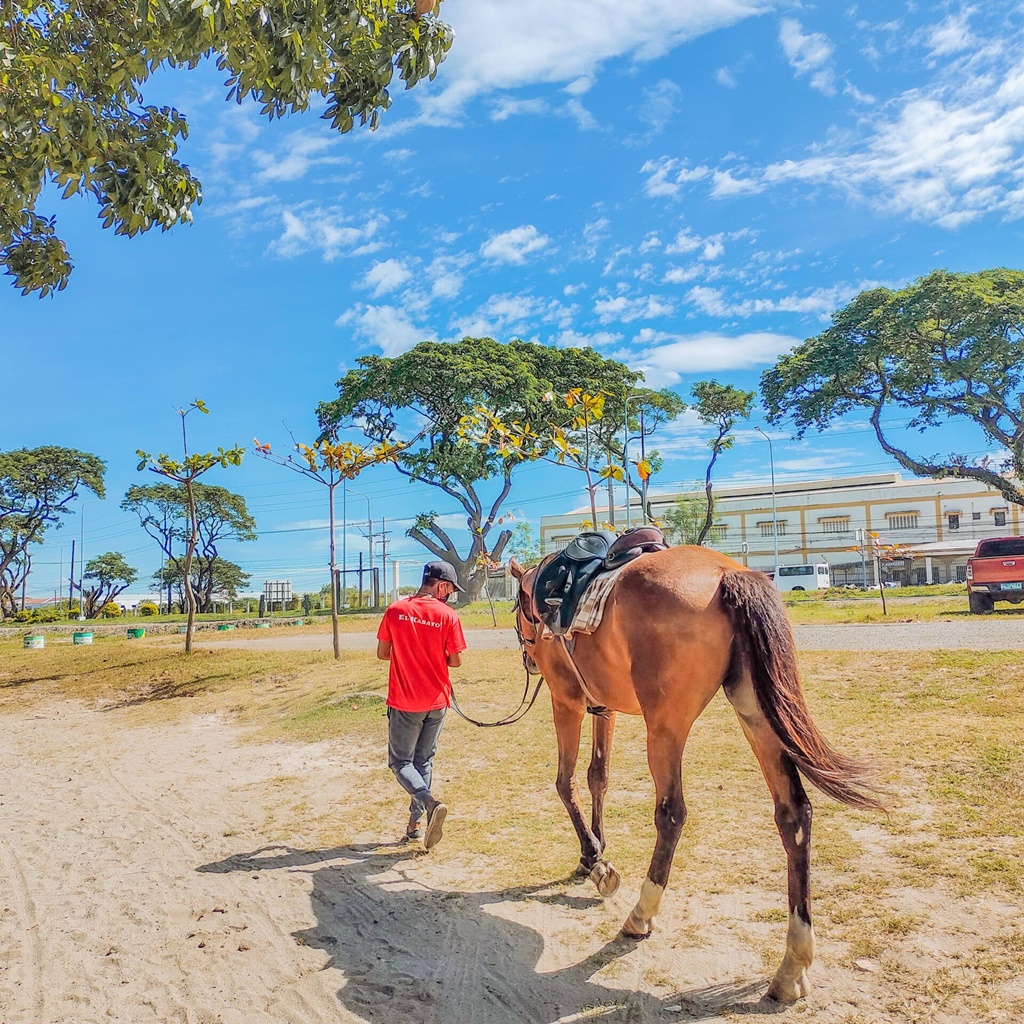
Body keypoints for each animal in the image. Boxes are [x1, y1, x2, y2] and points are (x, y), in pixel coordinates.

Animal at [508, 546, 883, 1003]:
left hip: (665, 725)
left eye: (517, 609)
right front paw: (591, 853)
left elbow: (567, 782)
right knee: (794, 814)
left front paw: (597, 862)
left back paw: (641, 914)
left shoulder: (567, 701)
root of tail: (727, 575)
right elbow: (600, 777)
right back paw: (792, 965)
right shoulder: (604, 707)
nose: (527, 657)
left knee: (671, 813)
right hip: (756, 712)